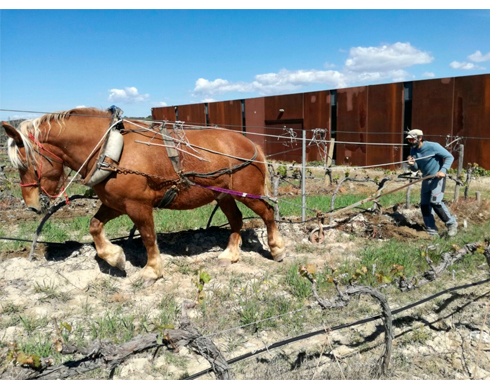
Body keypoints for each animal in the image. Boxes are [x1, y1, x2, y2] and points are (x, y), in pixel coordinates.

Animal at [0, 108, 286, 284]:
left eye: (25, 164)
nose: (32, 206)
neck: (111, 150)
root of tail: (250, 143)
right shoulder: (115, 203)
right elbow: (94, 226)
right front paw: (115, 258)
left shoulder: (138, 205)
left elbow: (148, 236)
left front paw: (152, 270)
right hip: (223, 195)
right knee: (236, 219)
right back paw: (230, 255)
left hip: (248, 193)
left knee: (267, 214)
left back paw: (277, 249)